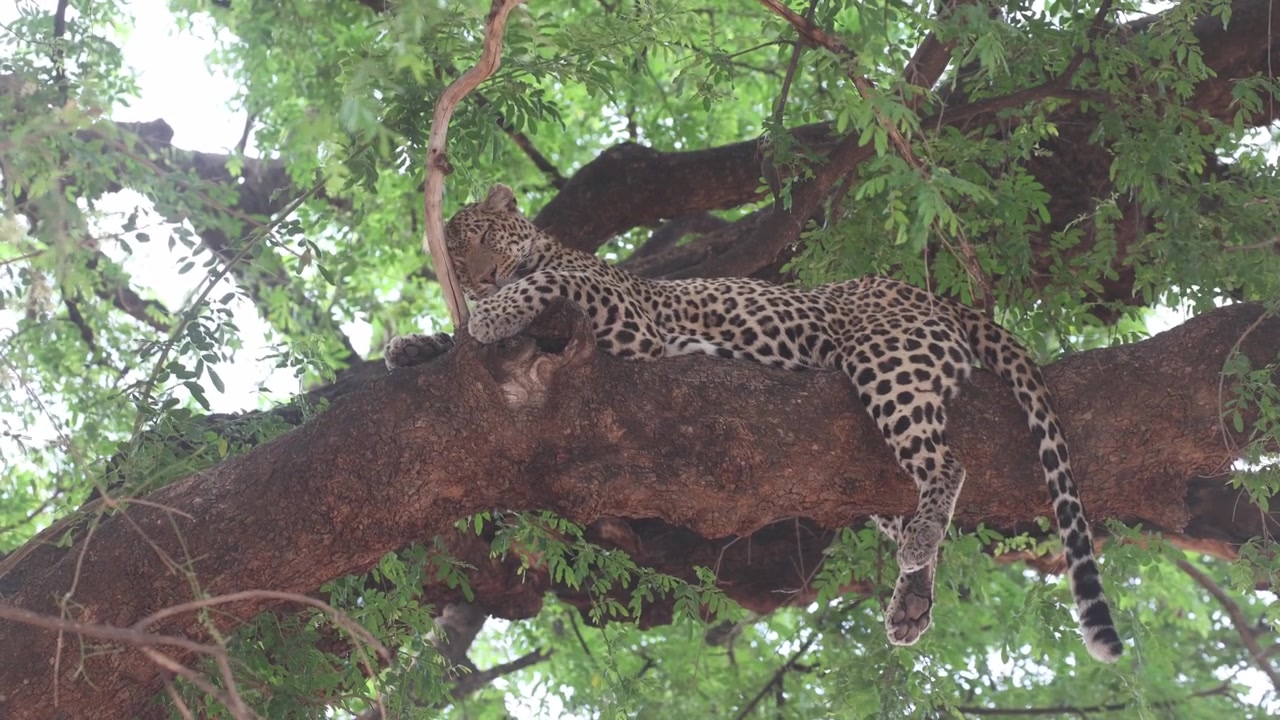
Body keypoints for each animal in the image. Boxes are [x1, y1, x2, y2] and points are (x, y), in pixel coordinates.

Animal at [386, 184, 1123, 663]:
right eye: (456, 257)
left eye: (485, 240)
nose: (479, 279)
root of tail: (935, 297)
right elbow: (452, 340)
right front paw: (412, 345)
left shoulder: (628, 322)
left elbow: (542, 286)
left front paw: (488, 314)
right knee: (913, 499)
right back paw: (912, 597)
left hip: (886, 361)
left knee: (947, 464)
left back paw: (916, 551)